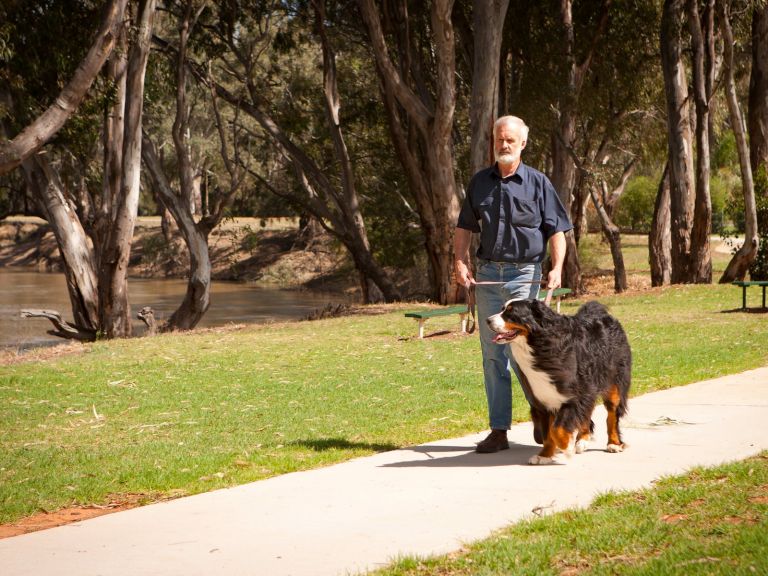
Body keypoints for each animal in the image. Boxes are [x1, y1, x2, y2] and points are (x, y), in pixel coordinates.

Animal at [486, 296, 632, 464]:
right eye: (502, 309)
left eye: (511, 312)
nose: (487, 320)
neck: (539, 346)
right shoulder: (542, 398)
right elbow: (548, 434)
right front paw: (544, 455)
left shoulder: (575, 395)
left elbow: (557, 429)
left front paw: (566, 447)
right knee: (587, 413)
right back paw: (582, 440)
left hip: (613, 383)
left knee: (611, 415)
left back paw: (613, 443)